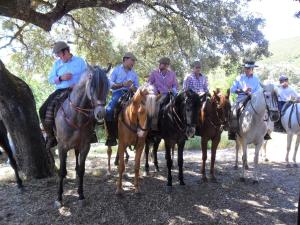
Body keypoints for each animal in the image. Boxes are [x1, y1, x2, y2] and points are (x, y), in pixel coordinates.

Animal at [53, 65, 110, 207]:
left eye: (108, 85)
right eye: (92, 85)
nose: (100, 114)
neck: (75, 117)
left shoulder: (85, 146)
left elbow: (82, 170)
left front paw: (81, 195)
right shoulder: (62, 147)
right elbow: (61, 171)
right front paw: (59, 198)